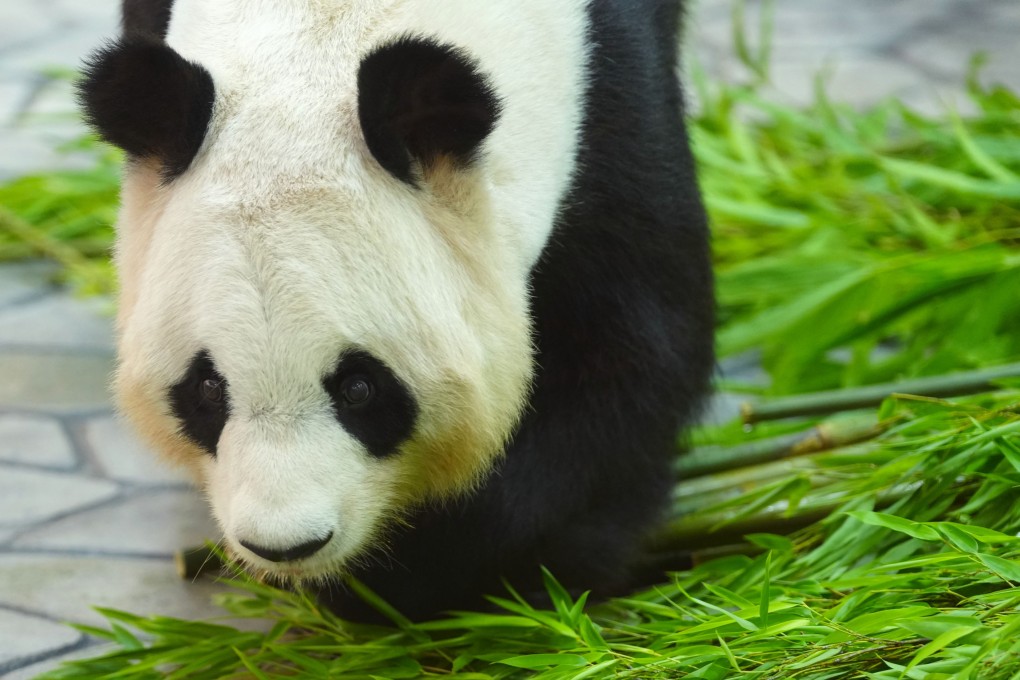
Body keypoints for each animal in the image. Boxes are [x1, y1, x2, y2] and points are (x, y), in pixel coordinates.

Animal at [79, 0, 714, 621]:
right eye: (208, 387)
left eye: (360, 388)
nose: (286, 545)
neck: (322, 30)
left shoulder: (607, 92)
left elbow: (627, 359)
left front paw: (435, 566)